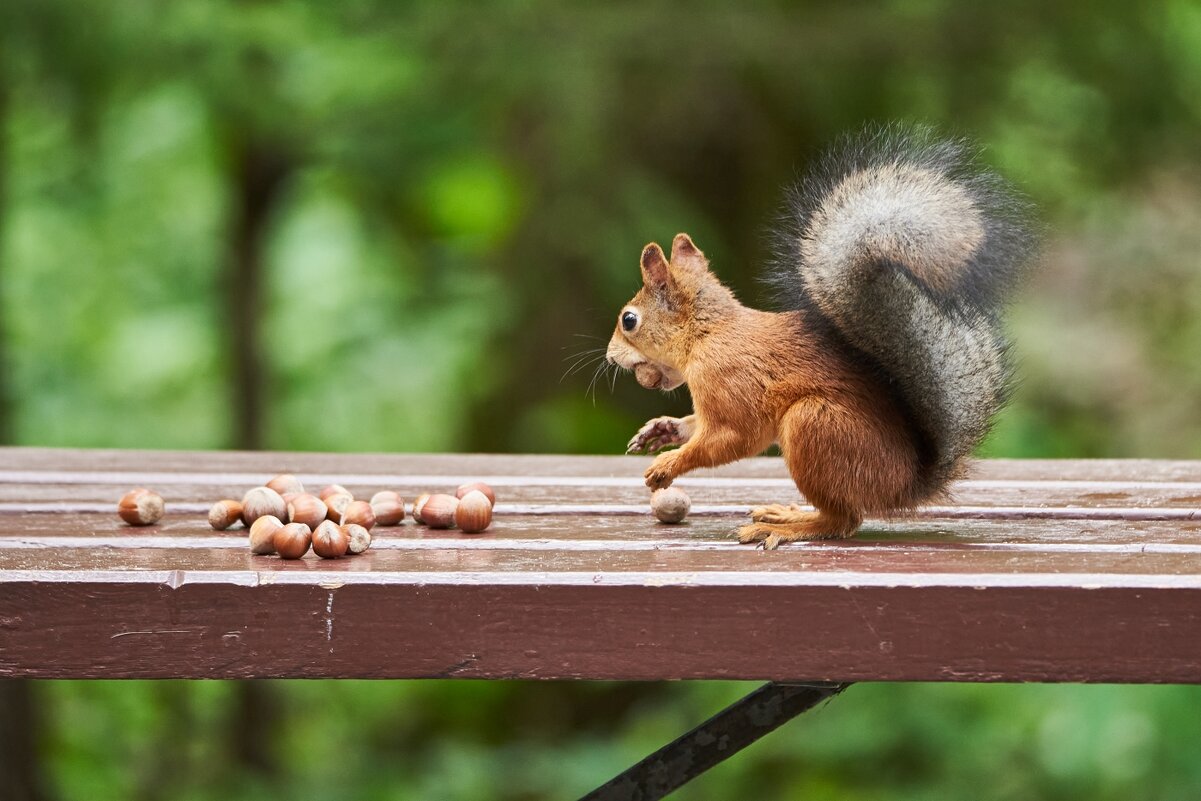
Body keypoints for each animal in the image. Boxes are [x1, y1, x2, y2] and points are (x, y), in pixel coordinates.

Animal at [605, 123, 1037, 552]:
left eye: (629, 320)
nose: (609, 356)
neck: (707, 334)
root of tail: (905, 486)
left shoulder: (727, 380)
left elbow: (732, 437)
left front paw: (668, 464)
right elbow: (699, 426)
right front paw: (663, 429)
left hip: (814, 424)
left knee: (844, 519)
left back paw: (787, 526)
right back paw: (787, 513)